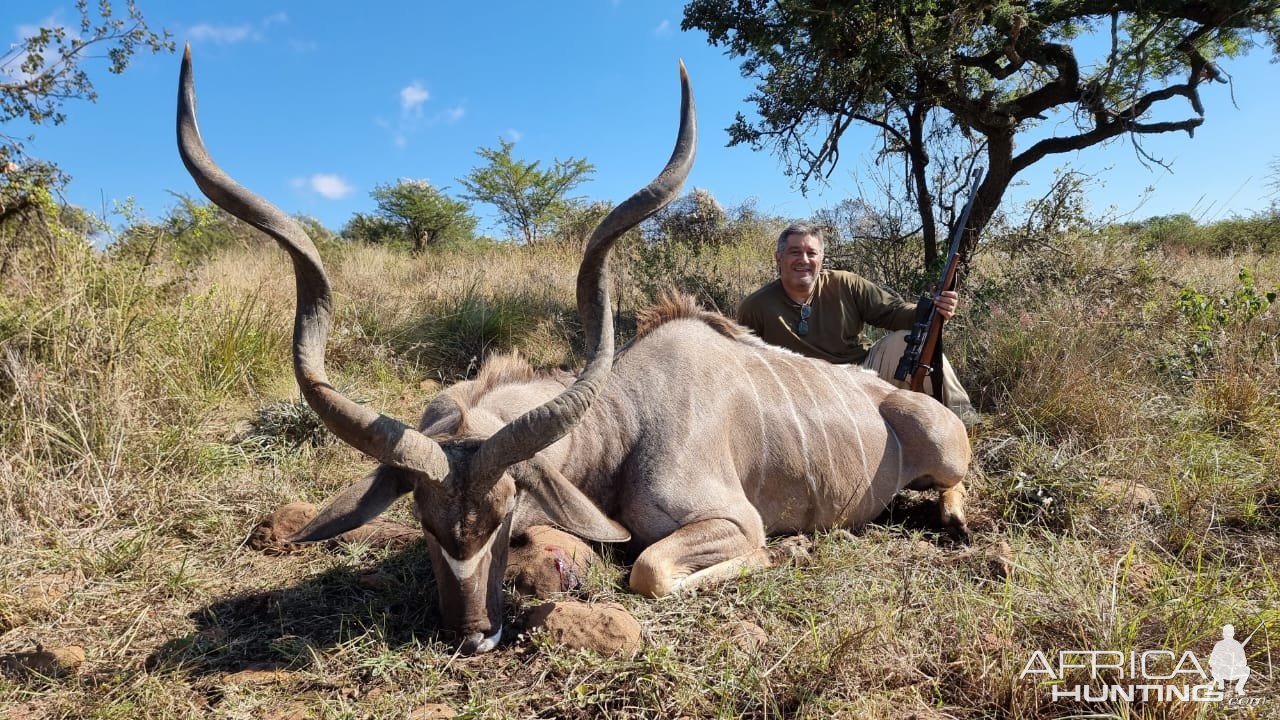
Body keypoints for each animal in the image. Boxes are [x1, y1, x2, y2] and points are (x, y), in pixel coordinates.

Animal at [175, 43, 962, 650]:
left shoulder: (730, 522)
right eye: (423, 519)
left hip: (947, 444)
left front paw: (786, 547)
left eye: (505, 514)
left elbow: (649, 571)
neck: (630, 418)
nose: (474, 635)